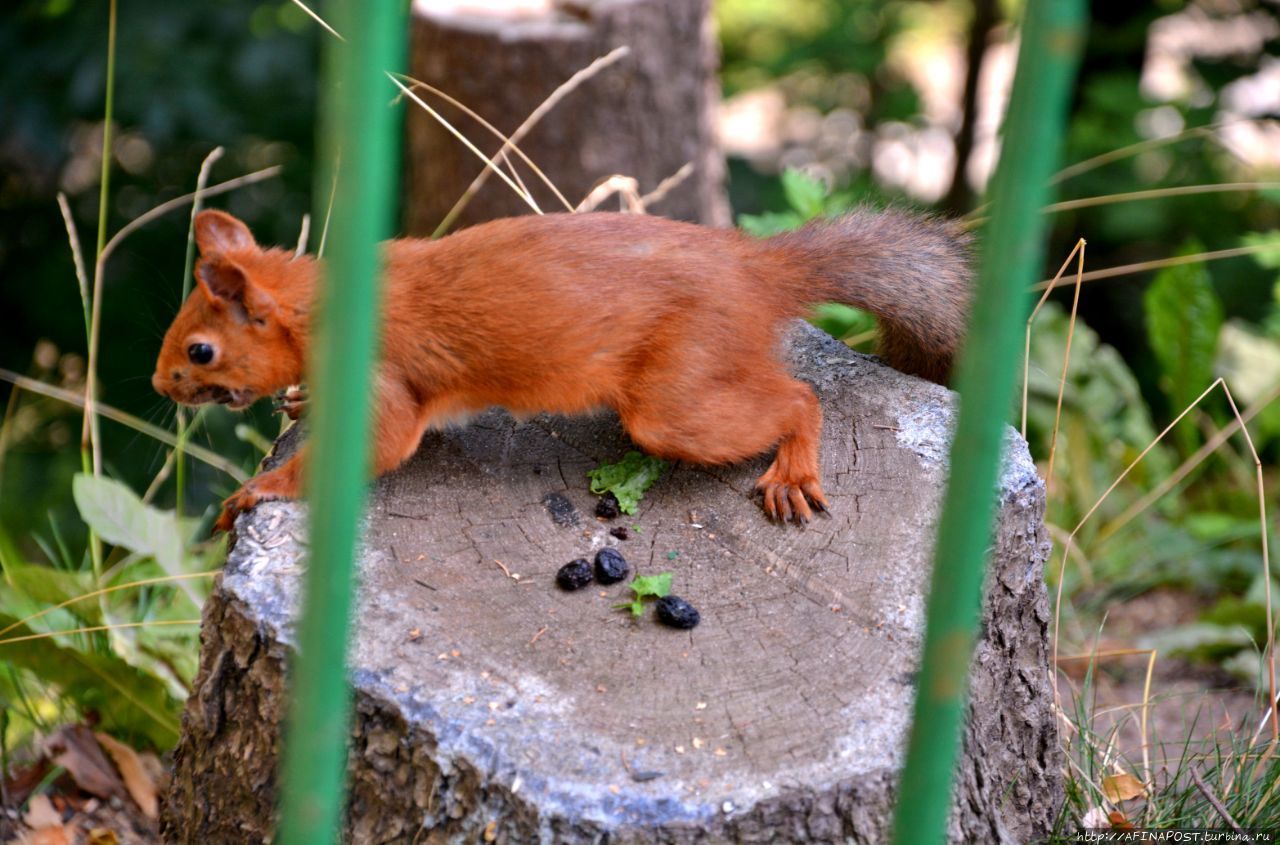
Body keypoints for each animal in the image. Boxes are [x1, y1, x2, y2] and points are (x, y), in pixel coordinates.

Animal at [149, 208, 967, 532]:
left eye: (200, 350)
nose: (161, 386)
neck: (320, 307)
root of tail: (755, 272)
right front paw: (297, 400)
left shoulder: (385, 381)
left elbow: (377, 444)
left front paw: (255, 491)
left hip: (677, 396)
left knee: (798, 397)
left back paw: (793, 467)